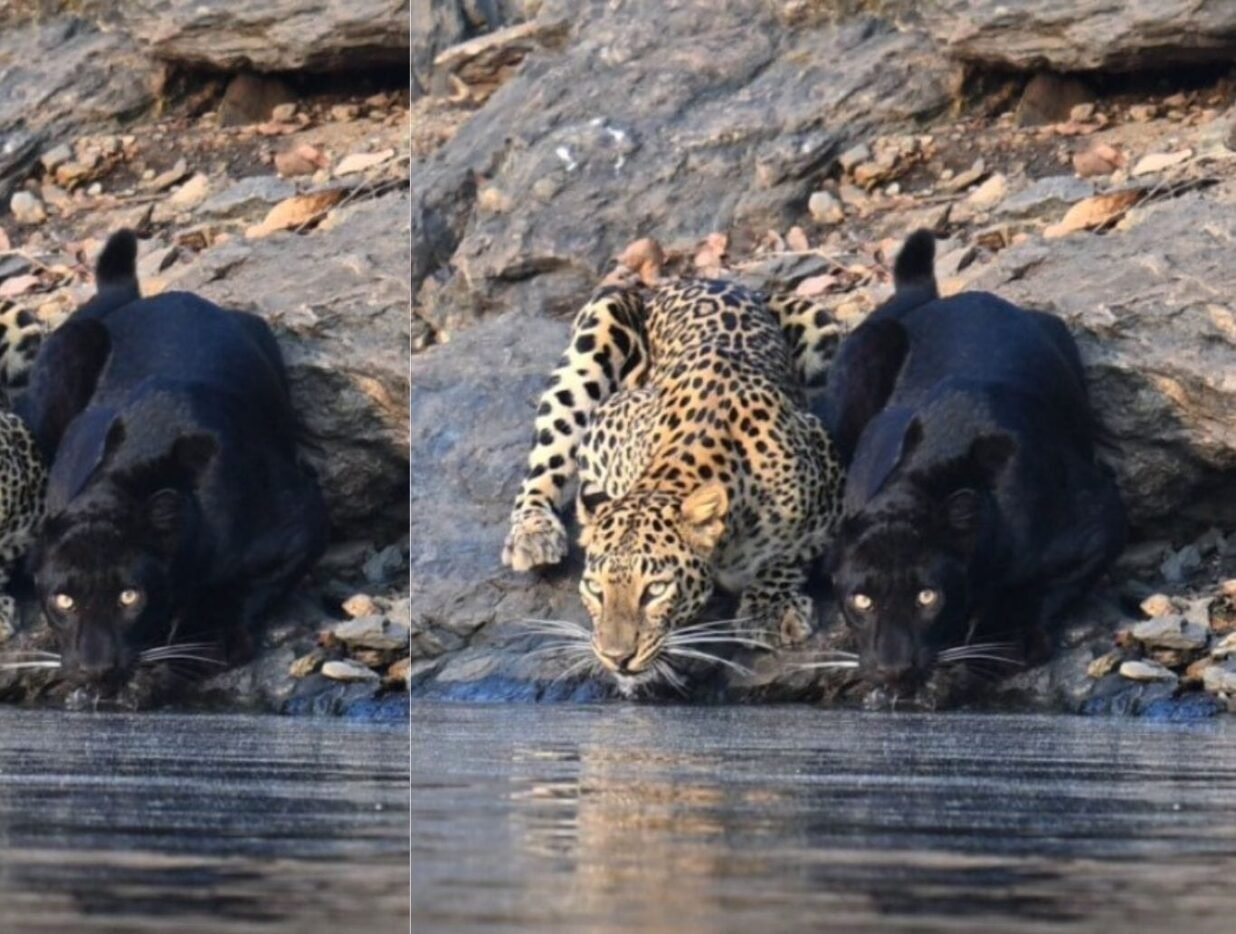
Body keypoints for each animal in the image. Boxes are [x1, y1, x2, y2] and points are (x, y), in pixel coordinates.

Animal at [502, 277, 845, 695]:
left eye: (655, 590)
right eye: (596, 590)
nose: (616, 657)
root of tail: (698, 279)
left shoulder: (831, 474)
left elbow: (789, 553)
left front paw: (769, 608)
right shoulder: (604, 429)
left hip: (822, 329)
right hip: (598, 324)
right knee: (546, 454)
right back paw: (533, 531)